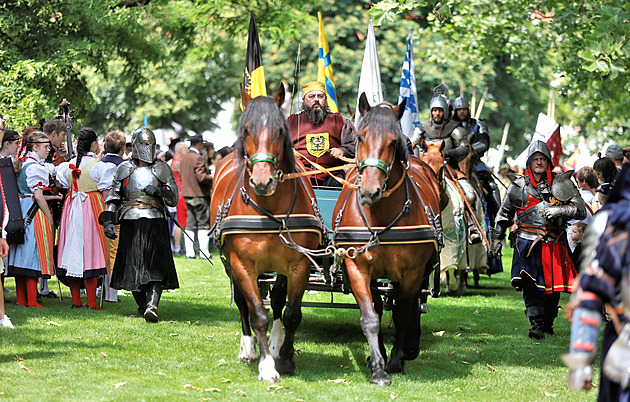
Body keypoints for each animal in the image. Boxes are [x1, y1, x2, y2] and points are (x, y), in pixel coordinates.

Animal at [210, 85, 324, 384]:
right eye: (246, 130)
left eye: (280, 130)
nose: (262, 181)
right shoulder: (242, 264)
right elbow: (257, 313)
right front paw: (267, 366)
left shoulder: (299, 264)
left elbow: (291, 312)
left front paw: (284, 357)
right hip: (231, 264)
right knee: (243, 303)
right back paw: (249, 348)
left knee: (278, 301)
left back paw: (276, 343)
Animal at [334, 95, 442, 386]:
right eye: (360, 137)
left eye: (394, 142)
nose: (369, 191)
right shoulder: (358, 268)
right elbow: (372, 316)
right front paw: (378, 366)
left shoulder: (412, 272)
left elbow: (403, 313)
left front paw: (395, 360)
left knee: (411, 306)